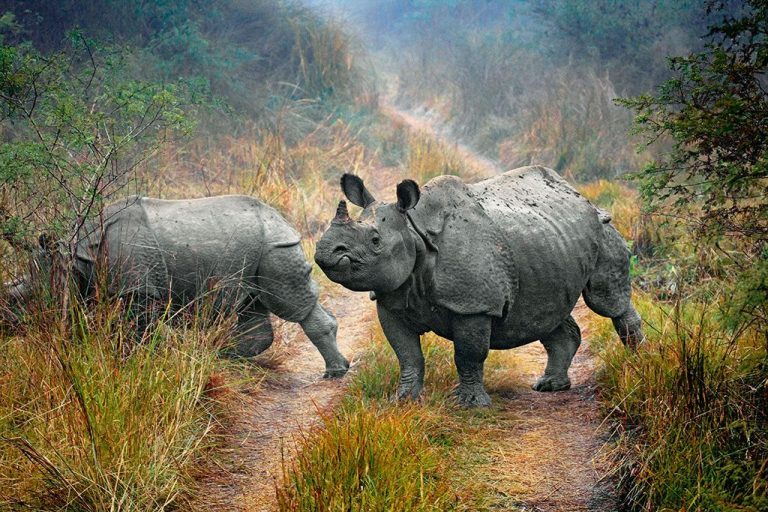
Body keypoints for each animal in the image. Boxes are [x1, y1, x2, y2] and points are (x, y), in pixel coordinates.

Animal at [13, 195, 350, 378]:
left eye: (24, 298)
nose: (11, 326)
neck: (79, 255)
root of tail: (279, 218)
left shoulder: (138, 290)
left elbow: (134, 334)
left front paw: (134, 364)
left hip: (275, 246)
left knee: (290, 304)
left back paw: (335, 373)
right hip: (251, 247)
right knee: (249, 304)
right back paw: (220, 354)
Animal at [314, 166, 643, 405]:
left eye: (375, 240)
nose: (324, 251)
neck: (414, 230)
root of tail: (582, 196)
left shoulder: (473, 306)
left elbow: (467, 355)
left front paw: (469, 404)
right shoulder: (392, 297)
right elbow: (407, 355)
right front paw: (403, 400)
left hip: (602, 228)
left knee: (606, 300)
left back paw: (638, 364)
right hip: (549, 246)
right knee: (547, 312)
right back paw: (550, 386)